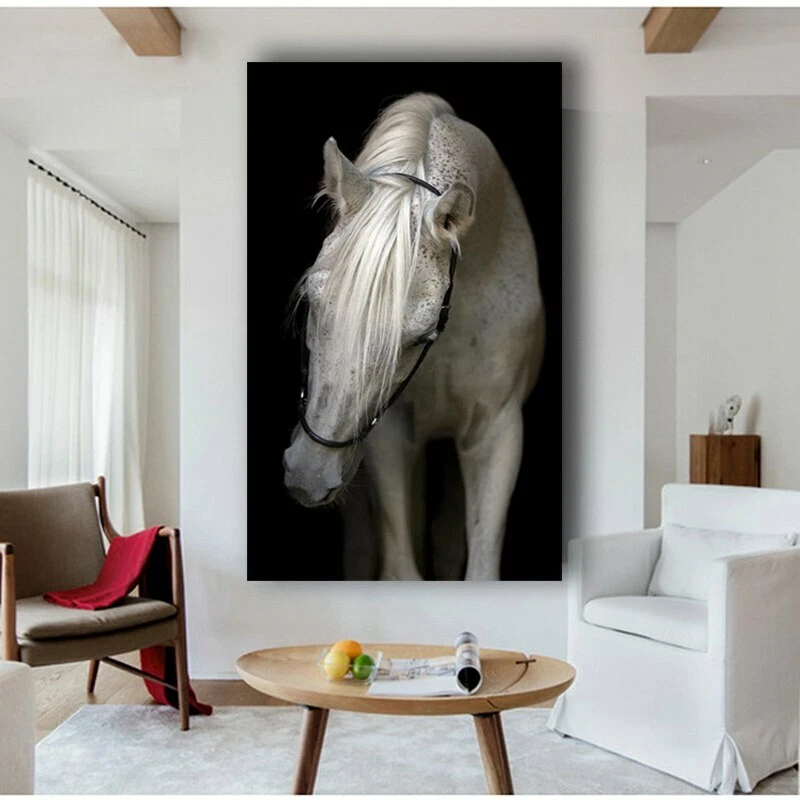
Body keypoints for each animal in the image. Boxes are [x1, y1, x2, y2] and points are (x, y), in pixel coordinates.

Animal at [282, 93, 545, 581]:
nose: (309, 474)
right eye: (312, 300)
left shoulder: (496, 430)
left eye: (421, 336)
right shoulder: (388, 434)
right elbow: (400, 567)